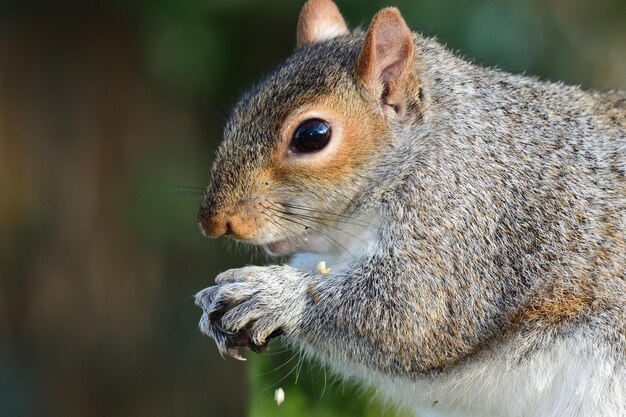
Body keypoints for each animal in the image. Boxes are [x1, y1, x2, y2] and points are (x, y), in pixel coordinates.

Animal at [193, 1, 620, 414]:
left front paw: (273, 294)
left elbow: (413, 318)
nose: (214, 222)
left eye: (312, 135)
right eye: (240, 109)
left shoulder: (468, 218)